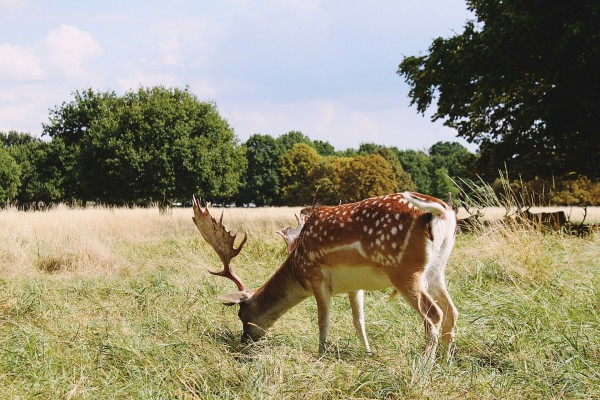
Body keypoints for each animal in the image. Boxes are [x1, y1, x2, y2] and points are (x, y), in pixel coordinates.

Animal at [193, 191, 460, 360]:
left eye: (242, 314)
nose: (245, 340)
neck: (297, 268)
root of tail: (441, 212)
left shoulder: (317, 277)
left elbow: (323, 319)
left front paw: (321, 353)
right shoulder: (355, 285)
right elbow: (359, 321)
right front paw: (368, 353)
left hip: (404, 269)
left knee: (433, 314)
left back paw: (425, 363)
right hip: (435, 270)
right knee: (452, 310)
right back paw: (445, 360)